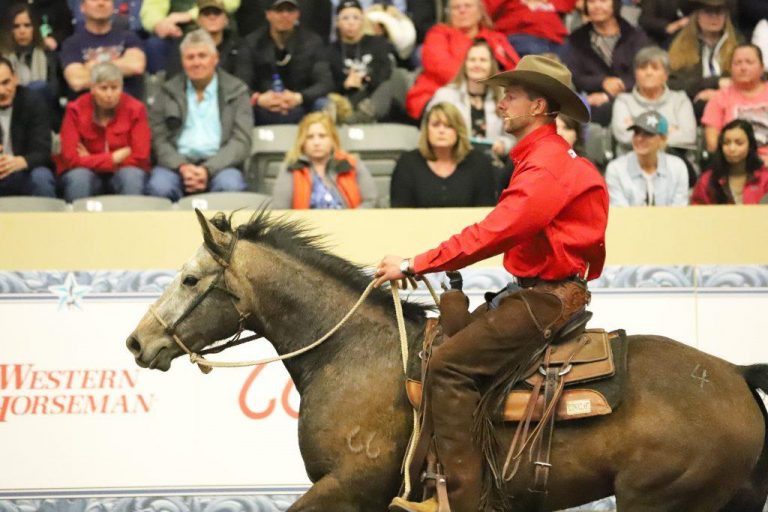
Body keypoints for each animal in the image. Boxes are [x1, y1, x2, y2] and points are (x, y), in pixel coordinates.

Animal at [126, 210, 768, 512]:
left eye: (190, 279)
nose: (137, 342)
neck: (353, 352)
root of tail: (734, 375)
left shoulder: (348, 487)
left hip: (658, 499)